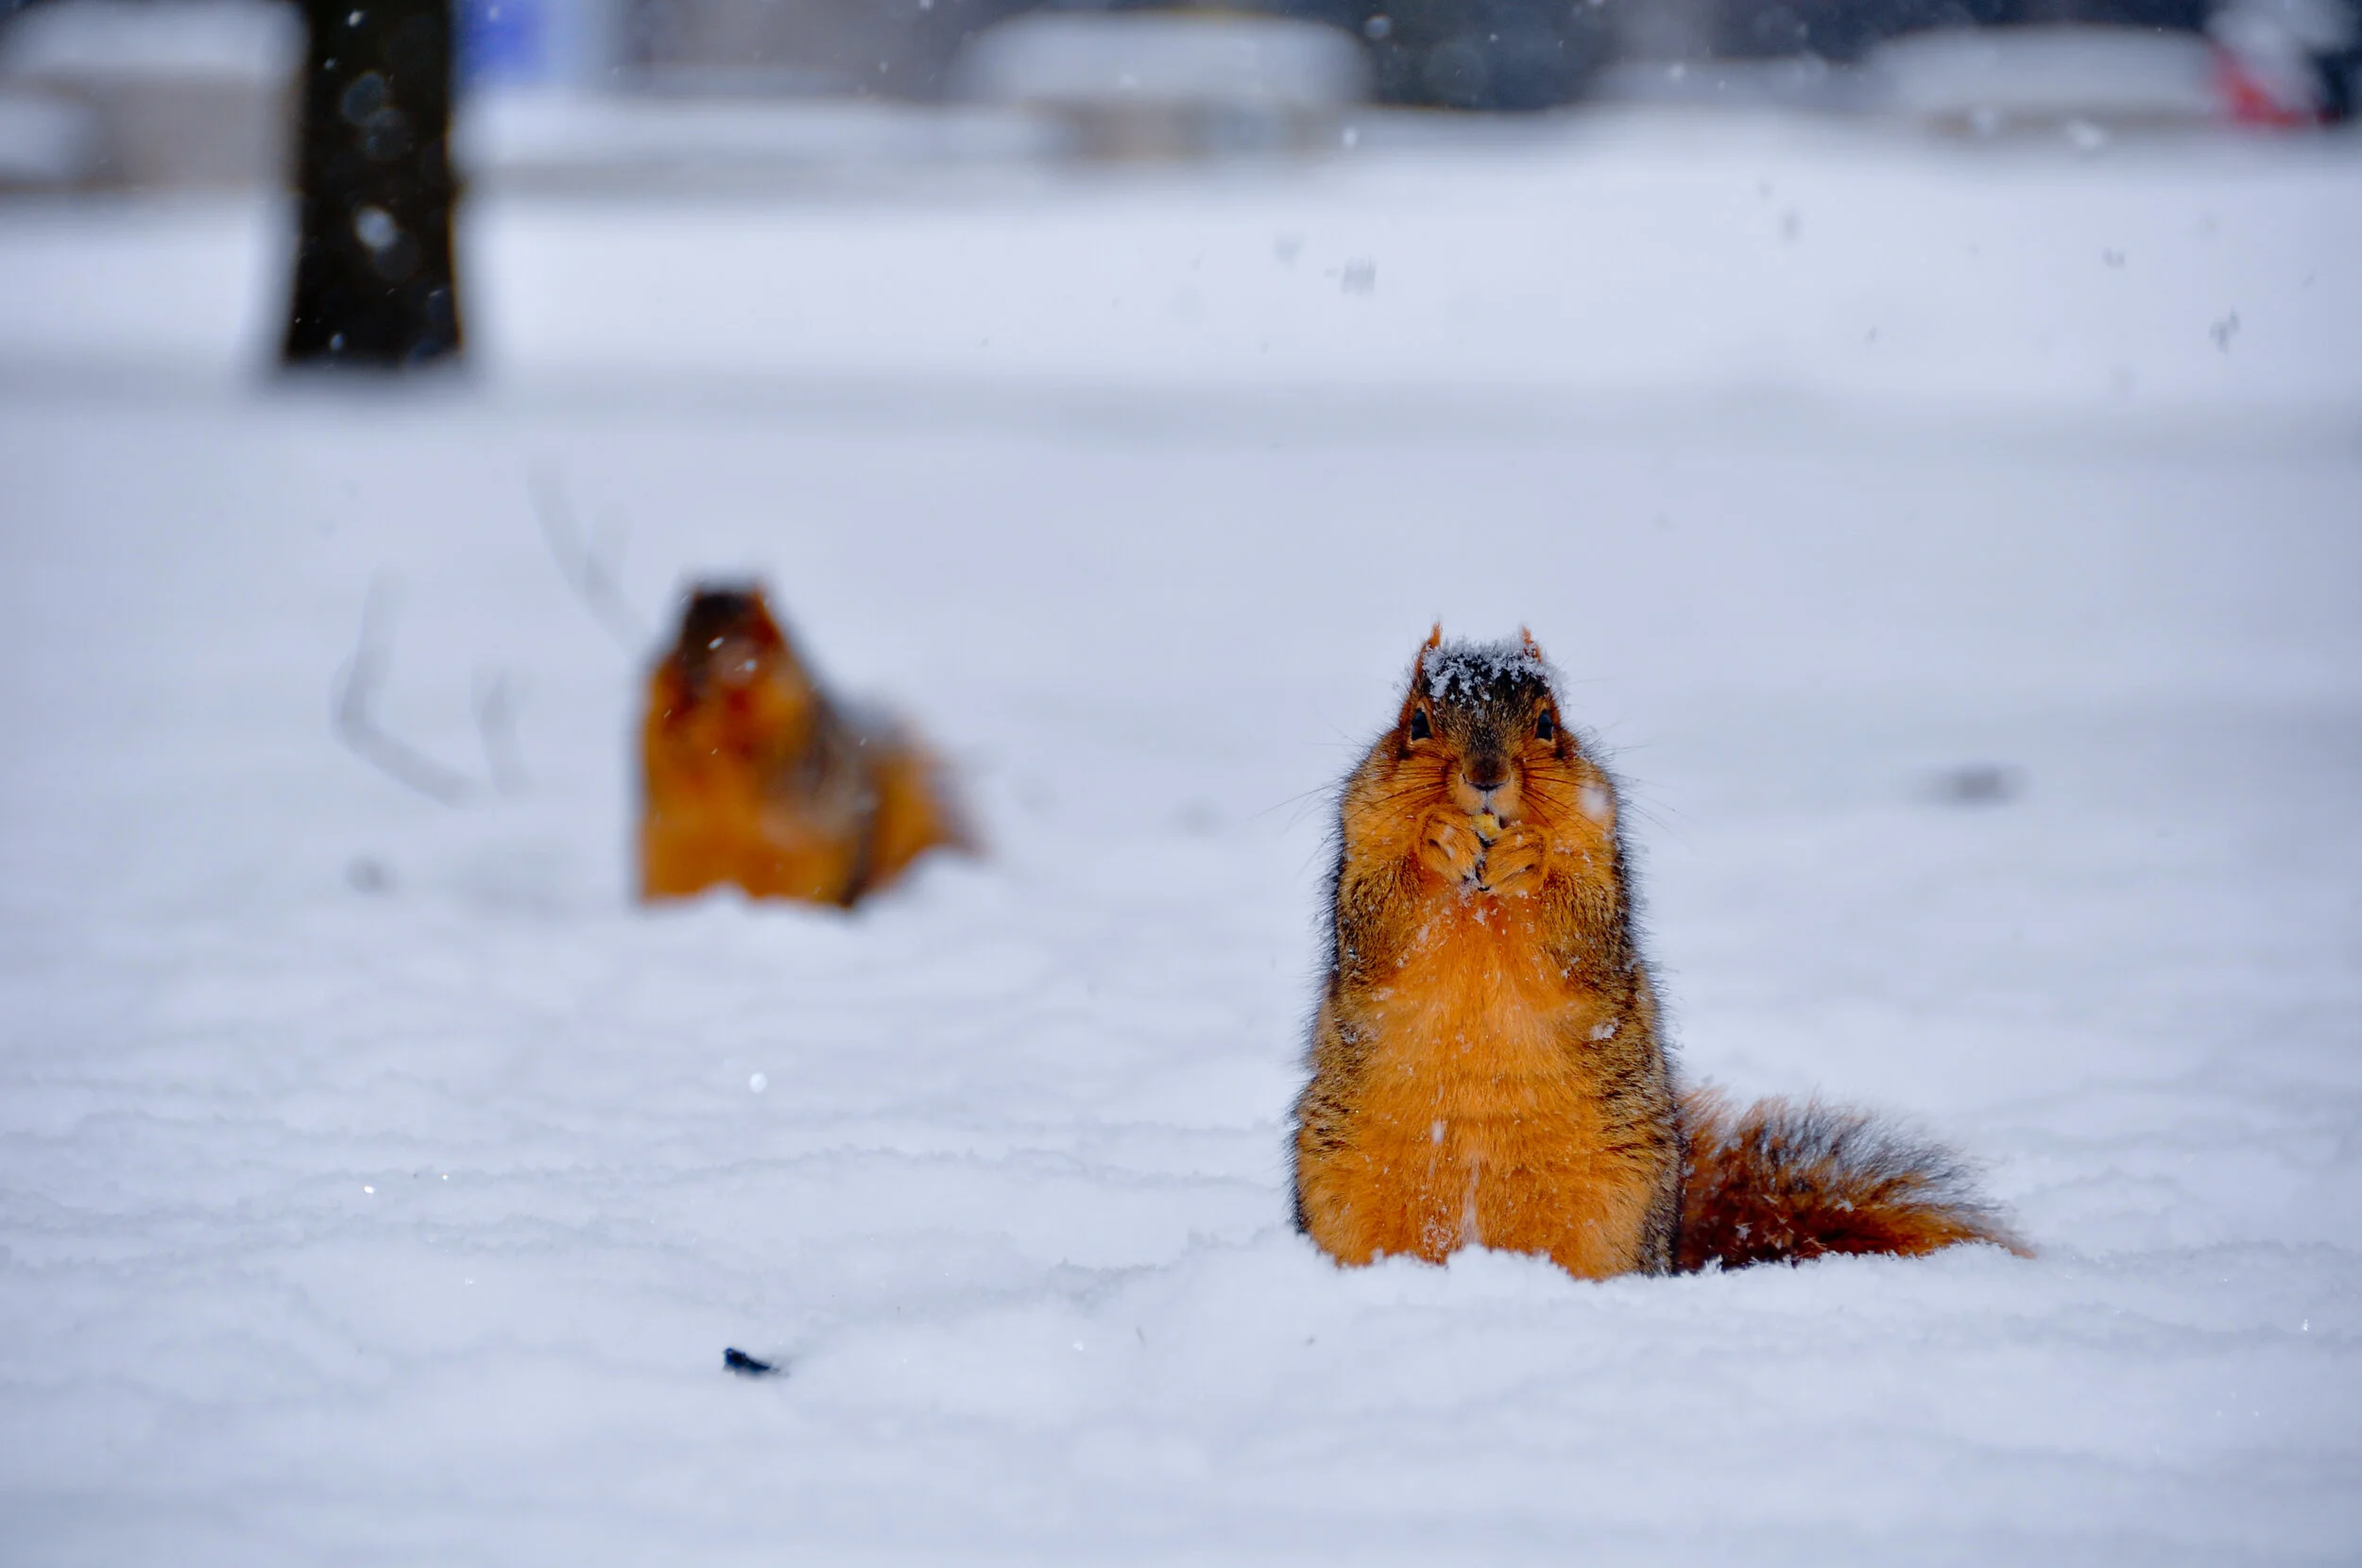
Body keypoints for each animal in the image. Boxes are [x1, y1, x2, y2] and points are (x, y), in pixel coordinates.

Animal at [639, 584, 967, 906]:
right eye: (676, 636)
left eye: (754, 636)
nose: (695, 683)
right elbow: (667, 756)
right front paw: (686, 730)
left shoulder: (793, 744)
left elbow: (755, 762)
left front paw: (715, 729)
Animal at [1291, 628, 2024, 1279]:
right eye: (1416, 722)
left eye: (1548, 724)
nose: (1487, 776)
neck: (1480, 897)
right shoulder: (1361, 844)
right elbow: (1377, 929)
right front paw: (1437, 839)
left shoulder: (1601, 858)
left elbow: (1583, 936)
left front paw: (1531, 857)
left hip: (1621, 1210)